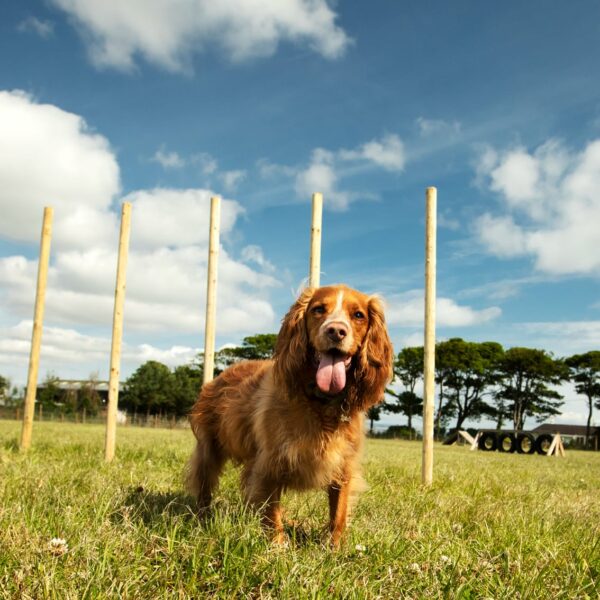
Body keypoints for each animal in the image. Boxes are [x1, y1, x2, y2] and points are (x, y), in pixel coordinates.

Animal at [188, 284, 394, 548]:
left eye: (358, 315)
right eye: (318, 309)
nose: (336, 331)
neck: (321, 402)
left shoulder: (343, 466)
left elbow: (338, 512)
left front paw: (335, 548)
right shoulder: (270, 463)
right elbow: (270, 509)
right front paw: (277, 545)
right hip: (209, 449)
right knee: (205, 484)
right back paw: (203, 517)